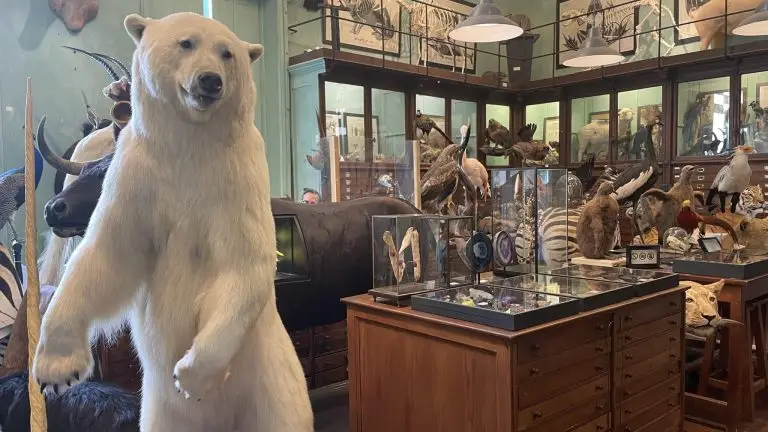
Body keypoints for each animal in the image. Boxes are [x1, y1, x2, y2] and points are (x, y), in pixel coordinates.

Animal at [30, 11, 312, 432]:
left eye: (227, 53)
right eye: (186, 43)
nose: (209, 80)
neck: (191, 144)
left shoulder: (238, 183)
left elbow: (243, 264)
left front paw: (191, 376)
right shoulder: (138, 178)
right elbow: (106, 256)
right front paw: (56, 371)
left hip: (274, 389)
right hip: (158, 411)